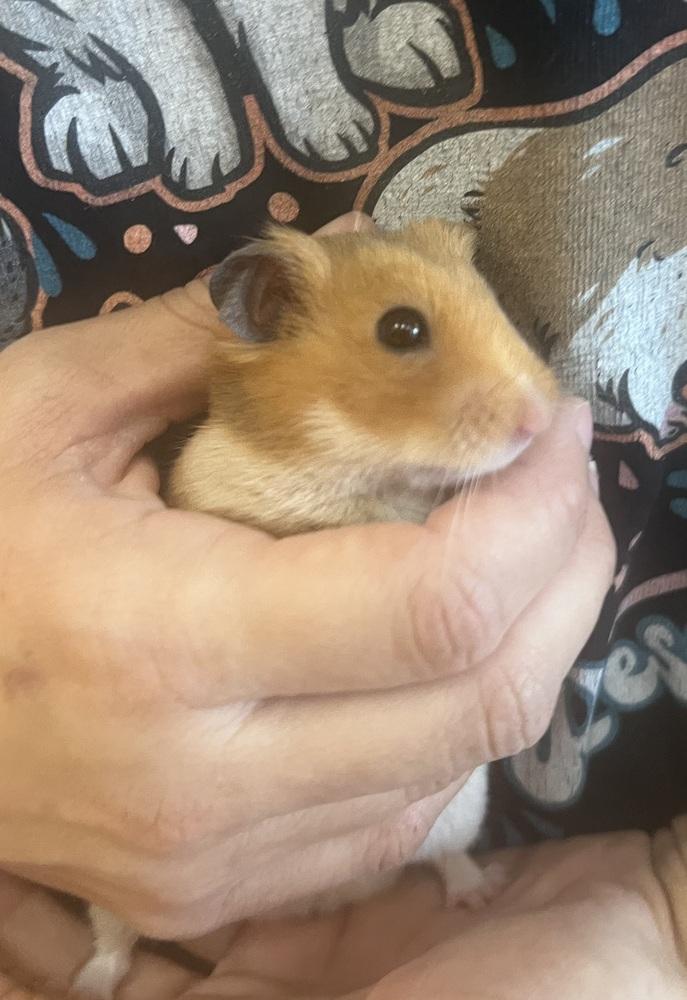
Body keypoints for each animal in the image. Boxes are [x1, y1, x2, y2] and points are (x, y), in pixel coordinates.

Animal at [73, 218, 558, 999]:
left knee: (447, 859)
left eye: (494, 300)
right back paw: (88, 983)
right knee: (113, 942)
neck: (350, 467)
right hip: (110, 896)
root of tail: (321, 900)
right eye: (401, 329)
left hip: (458, 814)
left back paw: (477, 893)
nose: (540, 419)